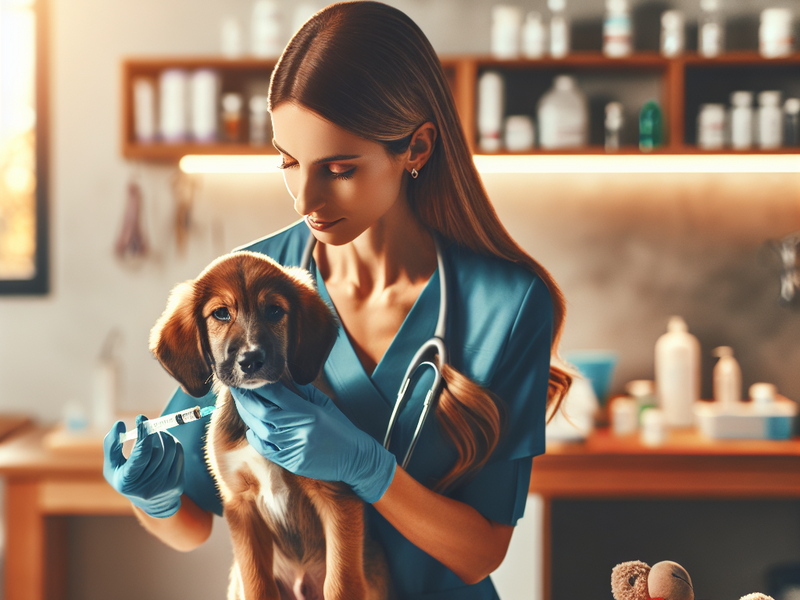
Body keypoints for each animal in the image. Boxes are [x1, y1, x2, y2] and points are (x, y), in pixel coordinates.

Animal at [148, 251, 392, 600]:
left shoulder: (337, 495)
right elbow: (258, 584)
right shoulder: (240, 505)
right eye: (221, 313)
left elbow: (340, 584)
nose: (250, 360)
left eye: (274, 310)